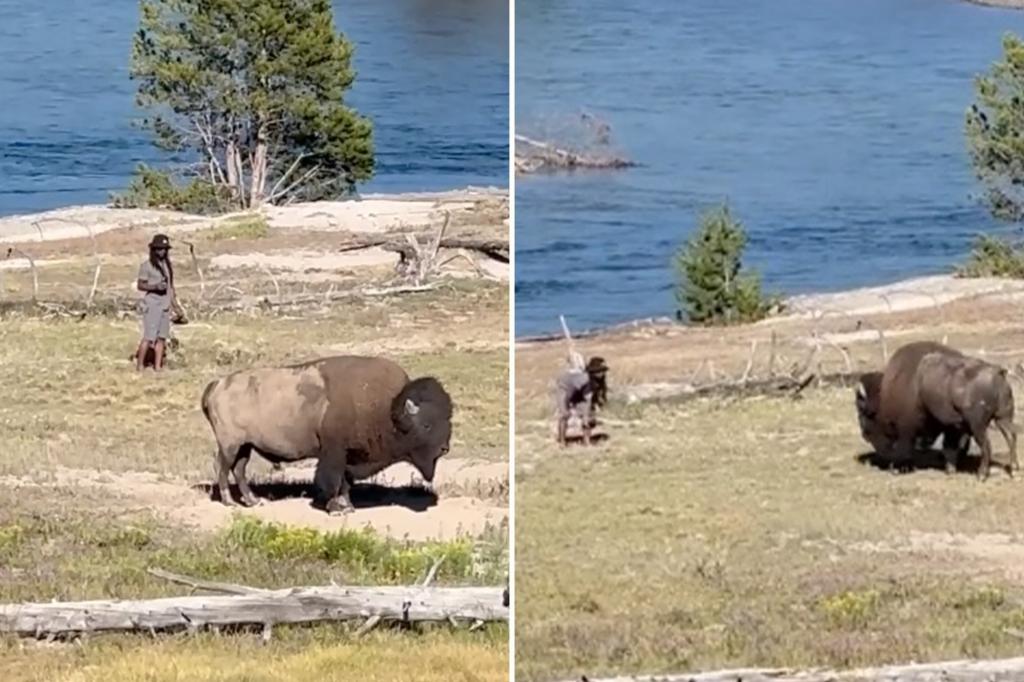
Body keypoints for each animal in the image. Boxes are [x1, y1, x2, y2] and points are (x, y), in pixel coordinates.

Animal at [201, 355, 453, 514]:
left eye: (448, 419)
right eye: (427, 425)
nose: (444, 448)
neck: (388, 408)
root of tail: (217, 384)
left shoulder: (349, 456)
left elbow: (345, 483)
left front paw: (347, 506)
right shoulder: (333, 454)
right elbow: (332, 481)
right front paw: (336, 508)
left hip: (246, 446)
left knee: (239, 470)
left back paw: (252, 501)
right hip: (231, 445)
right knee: (222, 467)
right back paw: (230, 502)